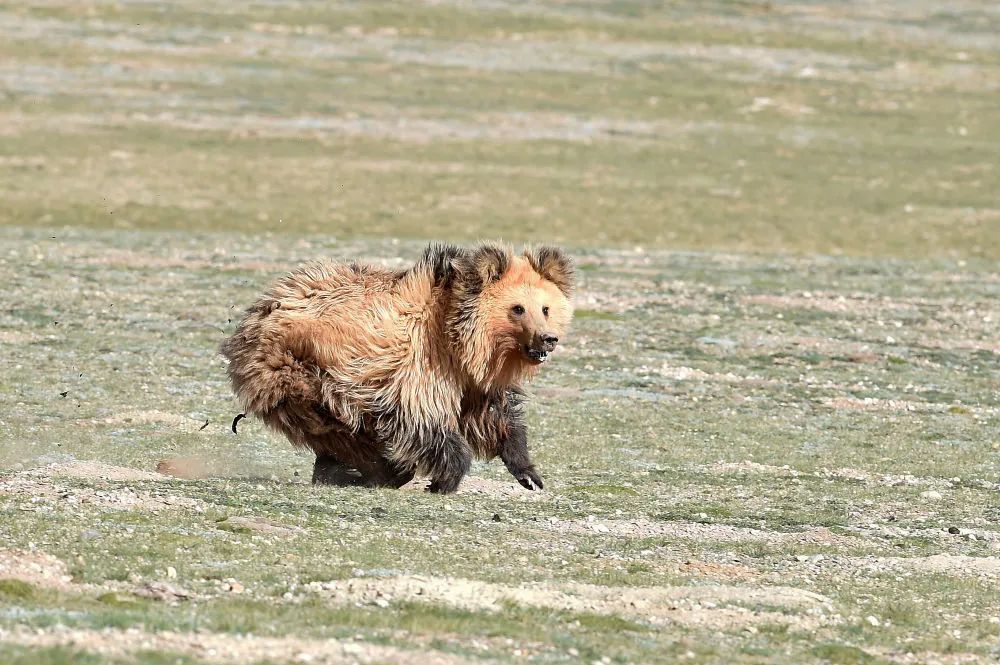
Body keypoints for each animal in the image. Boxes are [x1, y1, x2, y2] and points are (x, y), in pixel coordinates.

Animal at [220, 242, 574, 494]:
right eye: (518, 308)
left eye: (545, 308)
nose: (548, 339)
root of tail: (262, 306)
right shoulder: (419, 370)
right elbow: (425, 423)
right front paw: (443, 480)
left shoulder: (473, 382)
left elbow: (497, 417)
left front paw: (529, 474)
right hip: (299, 369)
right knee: (337, 426)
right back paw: (377, 469)